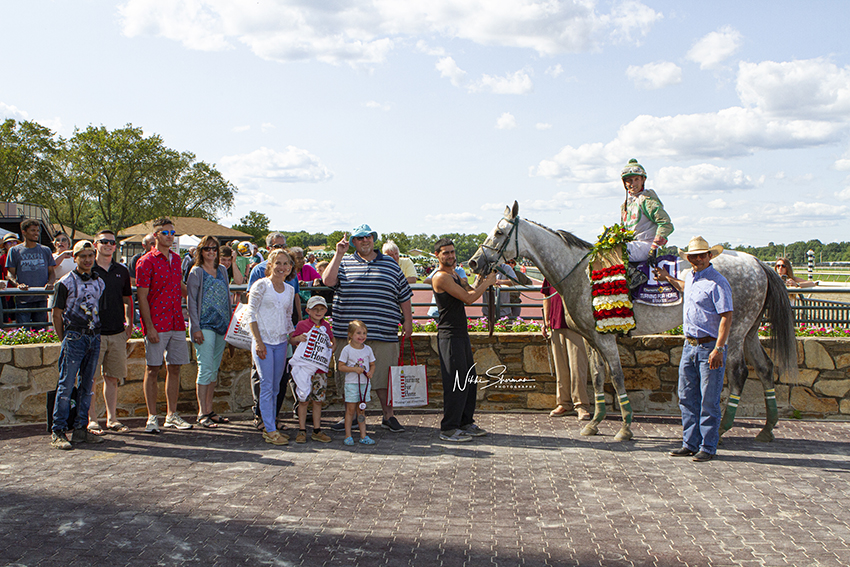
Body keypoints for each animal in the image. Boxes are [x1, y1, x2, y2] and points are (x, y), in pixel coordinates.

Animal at [468, 202, 800, 442]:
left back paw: (724, 427)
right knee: (765, 369)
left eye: (499, 233)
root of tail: (756, 262)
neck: (579, 272)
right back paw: (767, 428)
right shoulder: (592, 338)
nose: (473, 262)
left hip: (734, 331)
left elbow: (616, 376)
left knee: (739, 372)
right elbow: (597, 376)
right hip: (750, 331)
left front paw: (625, 428)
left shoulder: (605, 338)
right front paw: (595, 423)